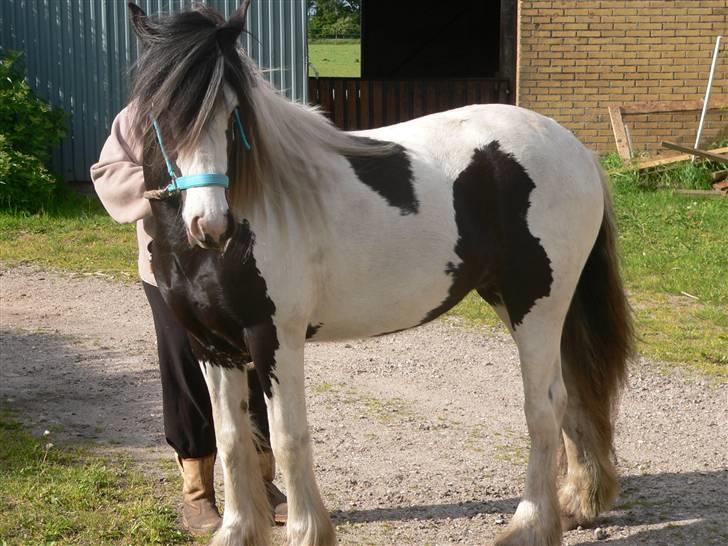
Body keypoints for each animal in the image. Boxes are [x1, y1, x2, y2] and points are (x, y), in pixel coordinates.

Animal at [128, 4, 636, 544]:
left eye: (232, 114)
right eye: (159, 115)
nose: (210, 224)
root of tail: (576, 150)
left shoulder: (274, 338)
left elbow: (288, 438)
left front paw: (307, 532)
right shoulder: (212, 346)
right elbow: (230, 438)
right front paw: (237, 530)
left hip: (536, 304)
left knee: (545, 407)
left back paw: (531, 525)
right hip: (520, 300)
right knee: (574, 396)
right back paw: (578, 503)